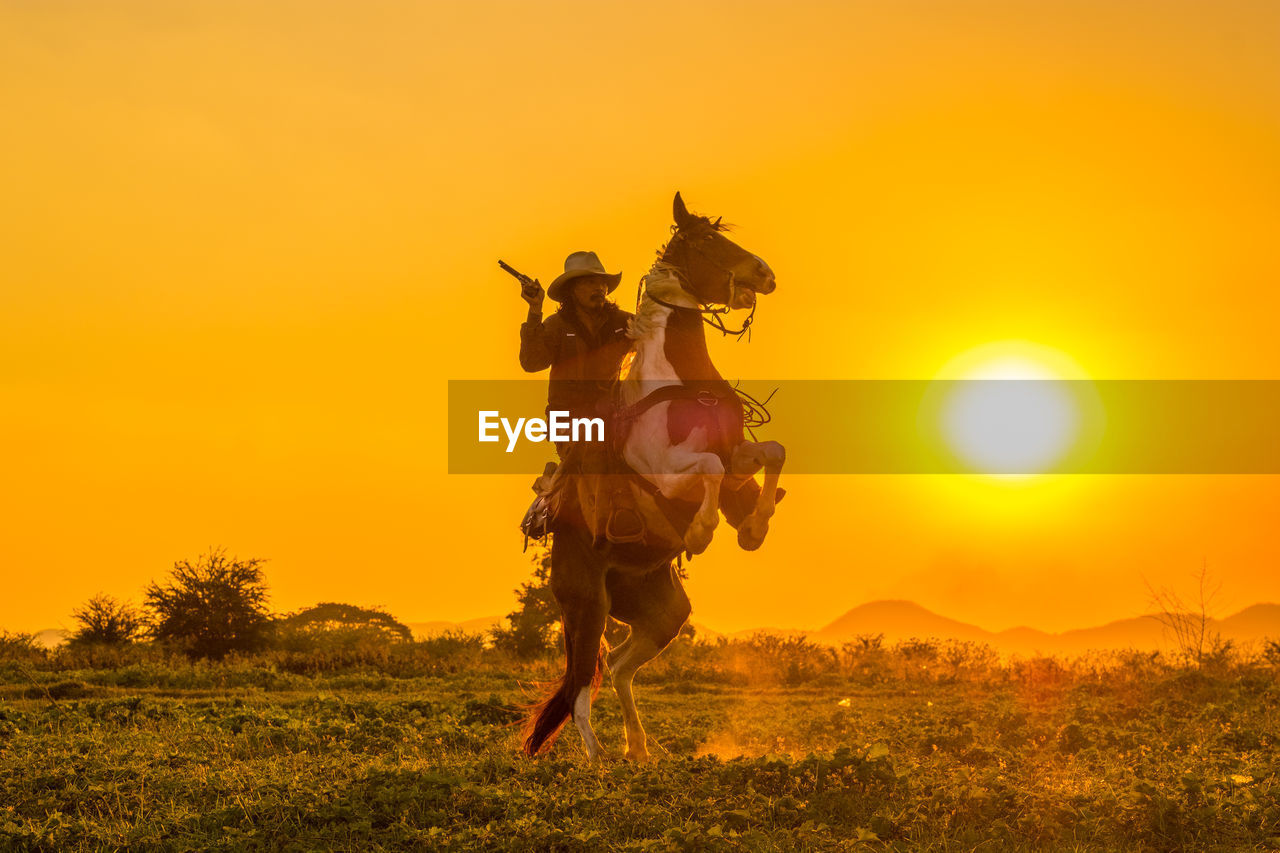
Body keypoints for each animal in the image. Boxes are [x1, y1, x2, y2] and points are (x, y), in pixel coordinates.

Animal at [522, 192, 783, 758]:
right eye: (706, 240)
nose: (765, 273)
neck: (679, 382)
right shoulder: (671, 476)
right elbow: (708, 470)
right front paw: (702, 533)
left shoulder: (739, 457)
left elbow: (772, 453)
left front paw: (754, 528)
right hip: (586, 608)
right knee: (580, 689)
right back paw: (600, 761)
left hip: (663, 614)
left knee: (619, 667)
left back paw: (641, 751)